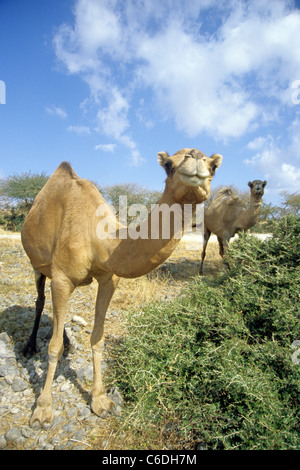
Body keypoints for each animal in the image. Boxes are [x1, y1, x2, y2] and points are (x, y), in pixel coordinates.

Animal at [21, 148, 223, 426]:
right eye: (168, 165)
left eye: (214, 166)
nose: (195, 157)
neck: (103, 241)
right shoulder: (63, 277)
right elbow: (52, 347)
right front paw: (42, 410)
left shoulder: (109, 279)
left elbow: (98, 338)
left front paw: (101, 400)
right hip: (38, 265)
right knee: (40, 299)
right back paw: (29, 346)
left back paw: (68, 343)